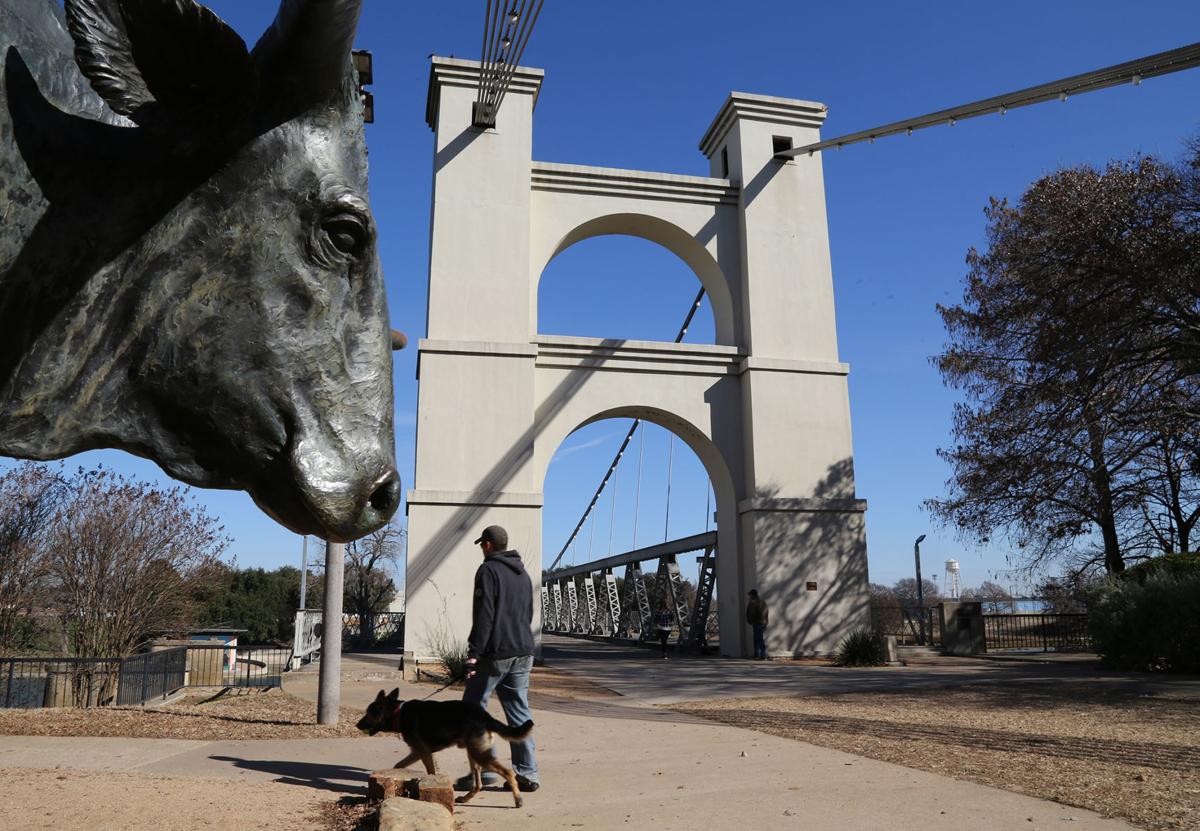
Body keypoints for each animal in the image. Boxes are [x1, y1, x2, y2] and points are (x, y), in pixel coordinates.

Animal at [355, 686, 535, 806]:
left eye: (368, 713)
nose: (357, 725)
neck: (396, 712)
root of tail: (485, 716)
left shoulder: (424, 752)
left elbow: (430, 772)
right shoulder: (417, 752)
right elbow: (398, 765)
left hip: (479, 755)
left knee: (508, 772)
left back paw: (518, 799)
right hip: (473, 754)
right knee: (479, 784)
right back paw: (466, 798)